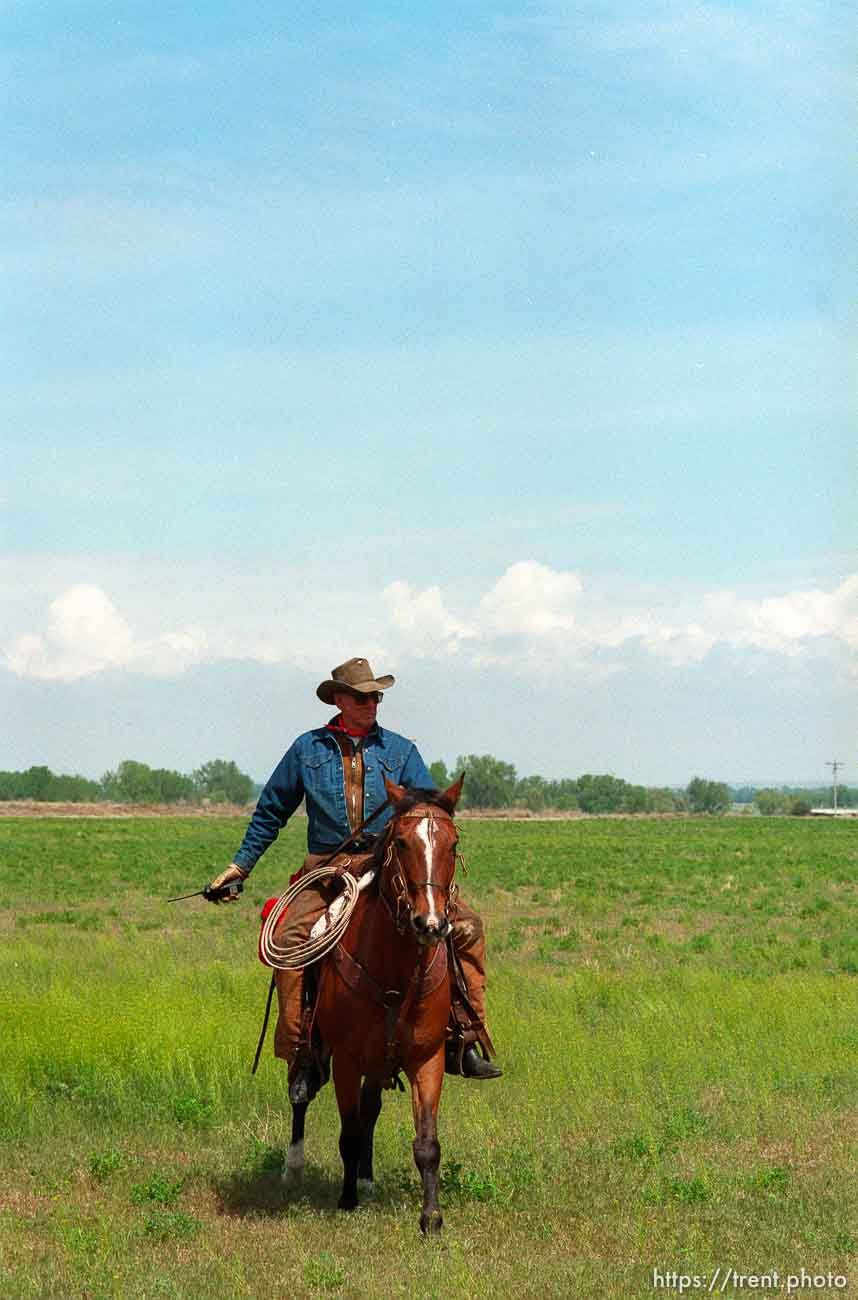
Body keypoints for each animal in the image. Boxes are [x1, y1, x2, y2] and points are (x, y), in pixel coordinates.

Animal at [284, 774, 462, 1232]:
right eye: (401, 842)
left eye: (453, 844)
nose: (430, 923)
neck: (394, 972)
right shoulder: (346, 1060)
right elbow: (347, 1133)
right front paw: (346, 1200)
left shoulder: (427, 1058)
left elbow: (427, 1143)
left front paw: (431, 1218)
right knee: (301, 1097)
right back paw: (294, 1166)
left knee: (371, 1109)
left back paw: (365, 1177)